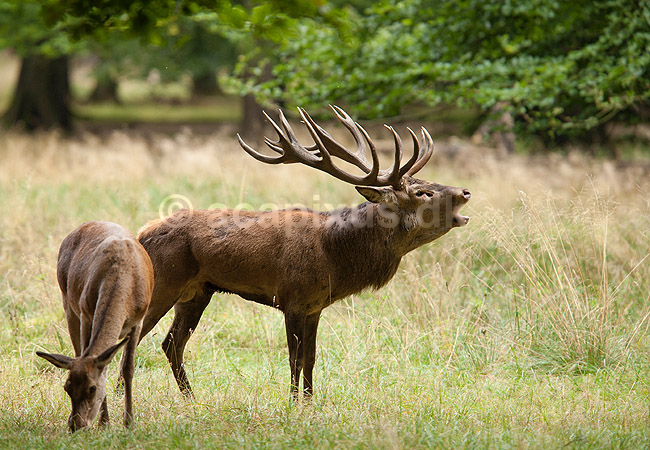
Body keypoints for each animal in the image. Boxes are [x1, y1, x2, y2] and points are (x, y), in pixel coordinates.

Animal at [37, 221, 154, 431]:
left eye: (92, 388)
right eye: (67, 387)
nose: (76, 425)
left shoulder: (138, 320)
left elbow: (127, 368)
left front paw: (129, 423)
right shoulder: (86, 313)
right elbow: (89, 355)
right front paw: (104, 423)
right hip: (68, 303)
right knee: (77, 351)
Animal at [135, 106, 470, 399]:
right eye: (422, 192)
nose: (465, 191)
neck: (335, 255)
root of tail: (142, 234)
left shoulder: (315, 306)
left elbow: (310, 359)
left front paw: (309, 404)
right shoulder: (293, 299)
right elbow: (294, 359)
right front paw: (293, 405)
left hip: (196, 293)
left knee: (171, 343)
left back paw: (192, 400)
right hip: (163, 285)